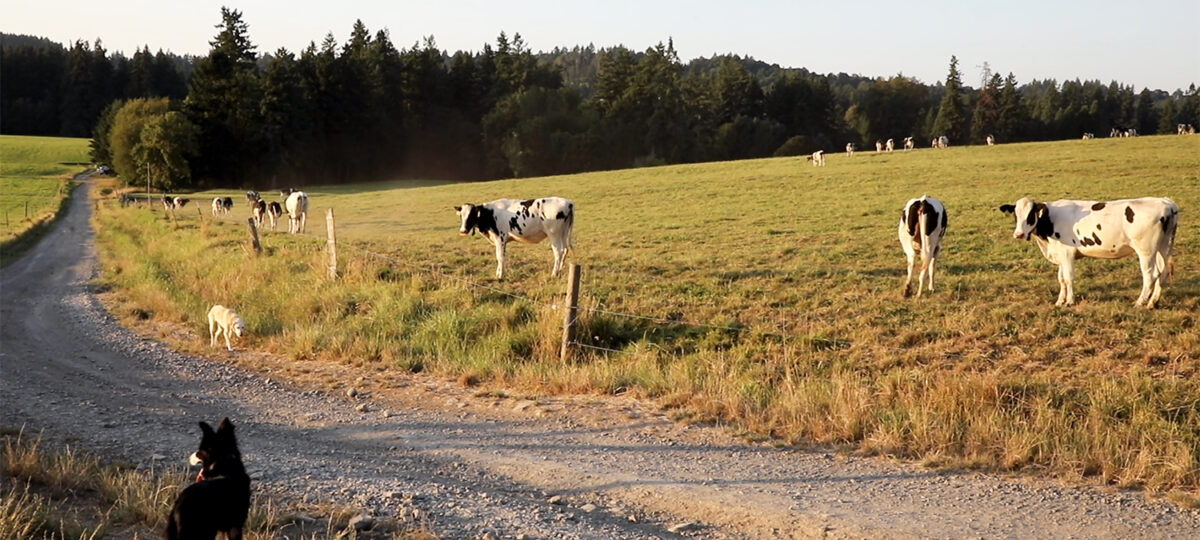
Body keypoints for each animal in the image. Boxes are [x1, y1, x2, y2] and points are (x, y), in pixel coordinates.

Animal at [998, 198, 1176, 307]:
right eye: (1015, 215)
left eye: (1030, 215)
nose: (1018, 234)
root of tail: (1166, 203)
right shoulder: (1060, 254)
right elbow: (1061, 279)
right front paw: (1060, 301)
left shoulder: (1068, 253)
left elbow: (1068, 278)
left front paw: (1069, 301)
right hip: (1163, 247)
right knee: (1163, 272)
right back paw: (1153, 303)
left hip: (1146, 251)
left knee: (1150, 275)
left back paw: (1140, 302)